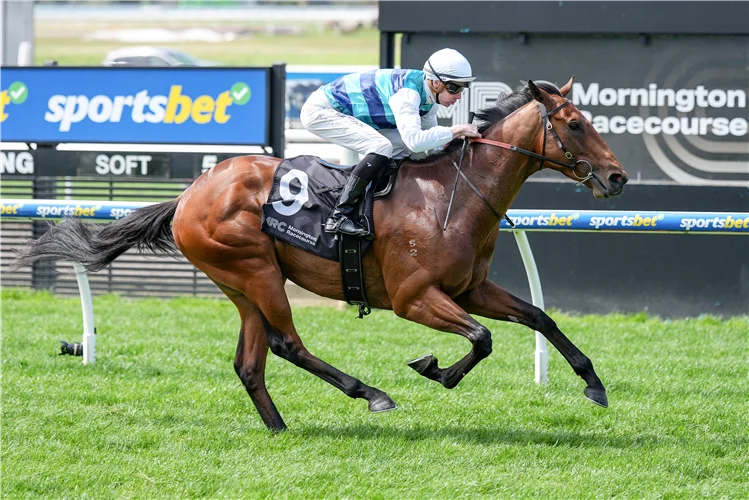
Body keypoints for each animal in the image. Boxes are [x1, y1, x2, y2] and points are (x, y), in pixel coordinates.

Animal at [13, 77, 628, 432]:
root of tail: (189, 194)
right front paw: (434, 370)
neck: (452, 194)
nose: (617, 177)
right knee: (286, 344)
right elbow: (482, 338)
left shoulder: (470, 288)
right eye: (575, 123)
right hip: (257, 270)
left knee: (250, 362)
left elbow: (539, 317)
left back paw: (279, 428)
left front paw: (593, 383)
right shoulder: (413, 298)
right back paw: (372, 395)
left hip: (240, 283)